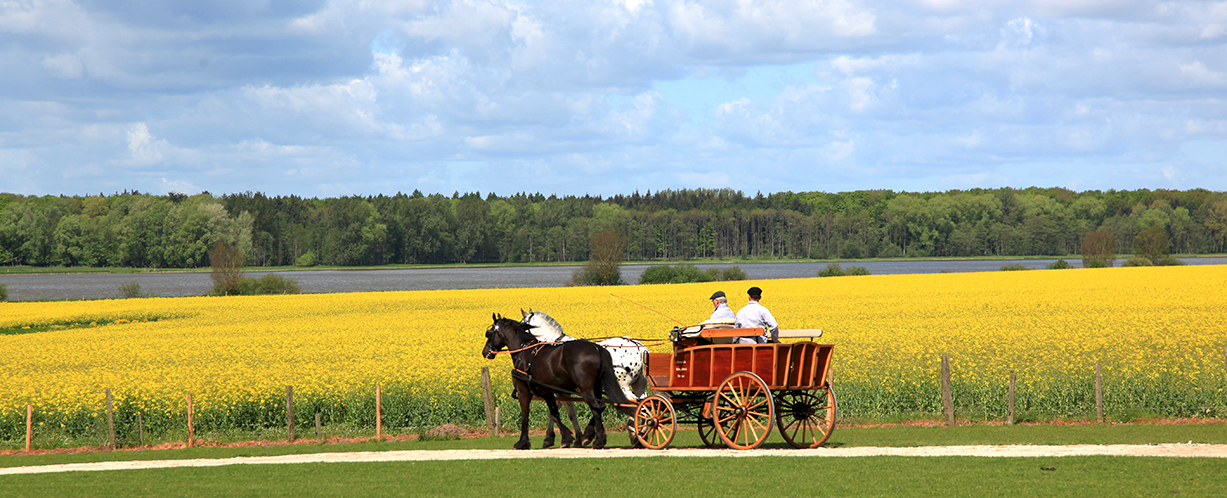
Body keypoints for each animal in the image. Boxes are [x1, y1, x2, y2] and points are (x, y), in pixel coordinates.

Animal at [480, 314, 633, 451]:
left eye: (490, 332)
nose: (485, 352)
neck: (524, 350)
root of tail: (597, 348)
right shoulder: (547, 392)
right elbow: (555, 413)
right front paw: (566, 438)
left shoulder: (524, 392)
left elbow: (526, 416)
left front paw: (523, 442)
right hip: (596, 388)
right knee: (601, 407)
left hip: (587, 388)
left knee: (596, 407)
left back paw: (599, 440)